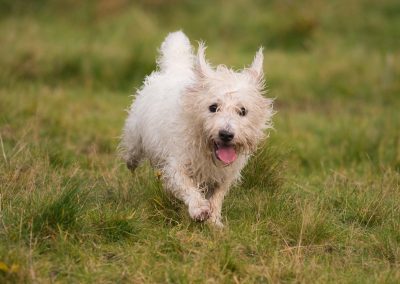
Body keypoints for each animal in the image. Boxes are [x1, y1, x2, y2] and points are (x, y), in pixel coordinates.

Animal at [120, 30, 274, 226]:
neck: (207, 149)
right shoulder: (177, 162)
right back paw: (131, 163)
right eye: (213, 107)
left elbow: (217, 195)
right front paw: (199, 208)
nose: (226, 134)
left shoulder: (225, 174)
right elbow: (186, 185)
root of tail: (176, 69)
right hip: (135, 136)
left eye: (243, 111)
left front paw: (215, 221)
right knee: (132, 152)